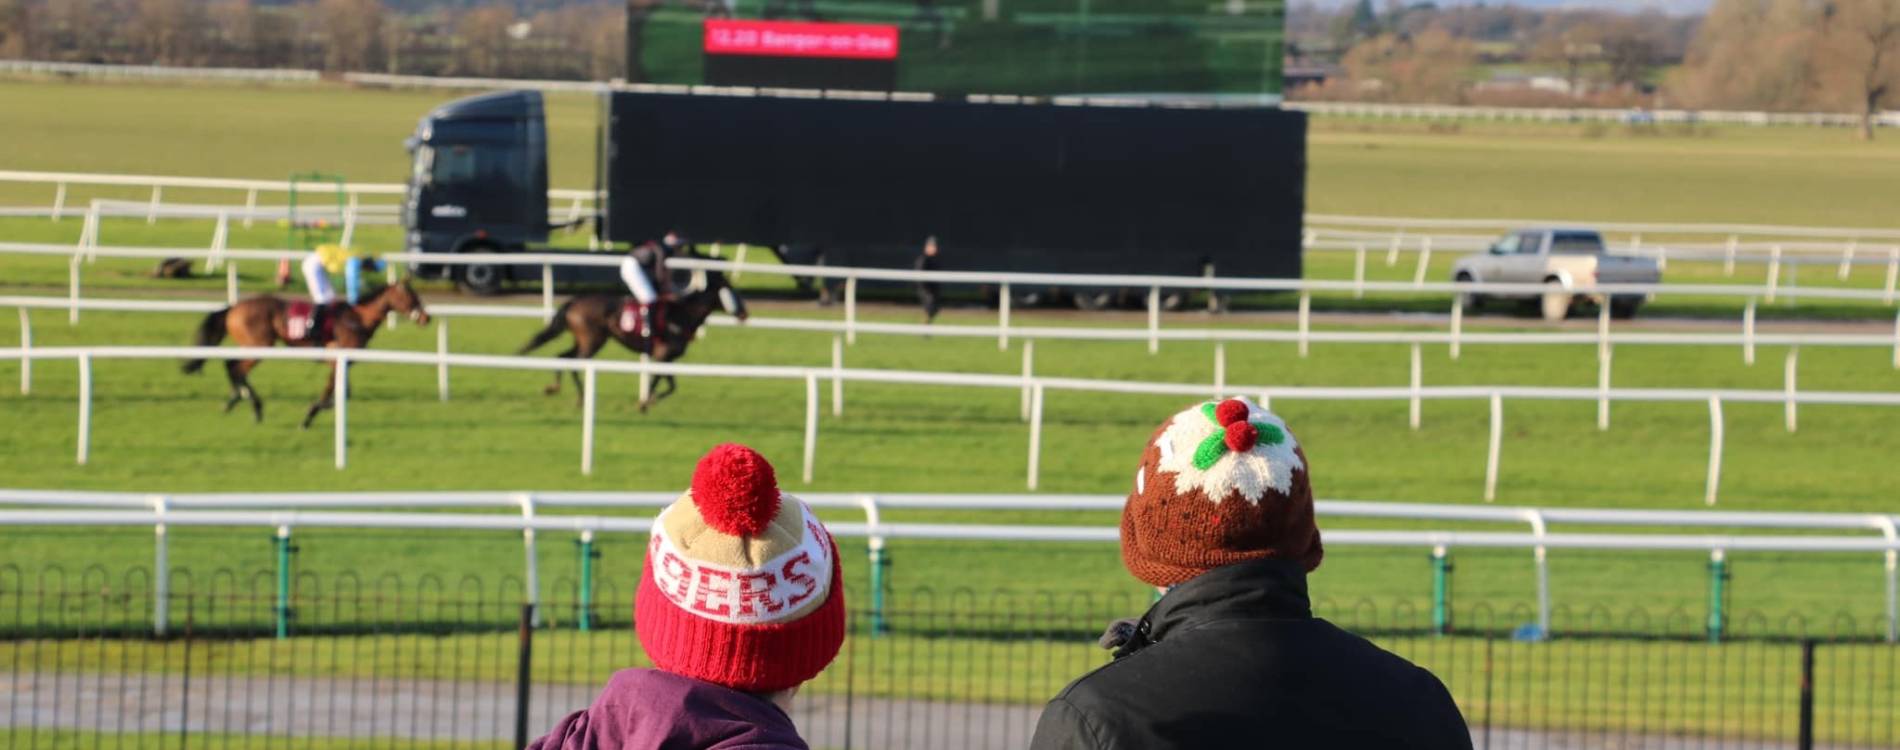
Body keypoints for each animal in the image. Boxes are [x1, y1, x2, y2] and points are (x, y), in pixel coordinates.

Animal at [178, 281, 431, 429]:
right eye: (411, 297)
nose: (426, 318)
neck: (357, 319)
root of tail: (234, 308)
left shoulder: (340, 361)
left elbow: (344, 391)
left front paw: (326, 406)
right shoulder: (336, 359)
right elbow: (331, 389)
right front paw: (310, 415)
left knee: (232, 366)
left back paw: (236, 399)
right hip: (259, 345)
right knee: (234, 366)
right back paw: (252, 405)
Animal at [524, 263, 752, 413]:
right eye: (732, 292)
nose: (744, 314)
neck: (682, 316)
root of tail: (574, 301)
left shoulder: (668, 359)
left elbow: (671, 386)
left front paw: (651, 400)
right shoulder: (662, 355)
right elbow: (657, 381)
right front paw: (644, 403)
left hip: (585, 340)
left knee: (563, 357)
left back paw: (555, 388)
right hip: (592, 340)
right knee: (575, 363)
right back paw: (579, 397)